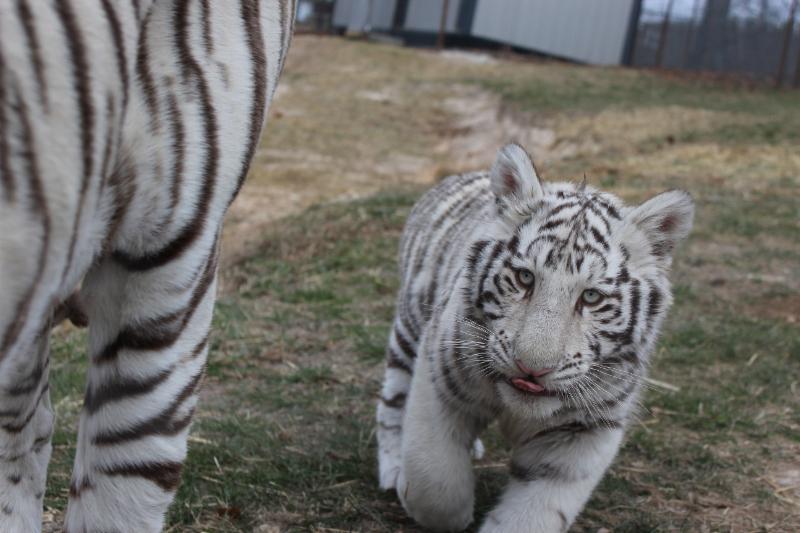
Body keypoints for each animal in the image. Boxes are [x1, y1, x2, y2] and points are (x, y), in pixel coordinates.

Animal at [376, 143, 694, 532]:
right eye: (525, 278)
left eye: (591, 297)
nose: (532, 368)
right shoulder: (440, 373)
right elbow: (435, 484)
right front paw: (421, 497)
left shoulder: (584, 433)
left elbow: (531, 516)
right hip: (409, 327)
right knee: (392, 401)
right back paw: (393, 468)